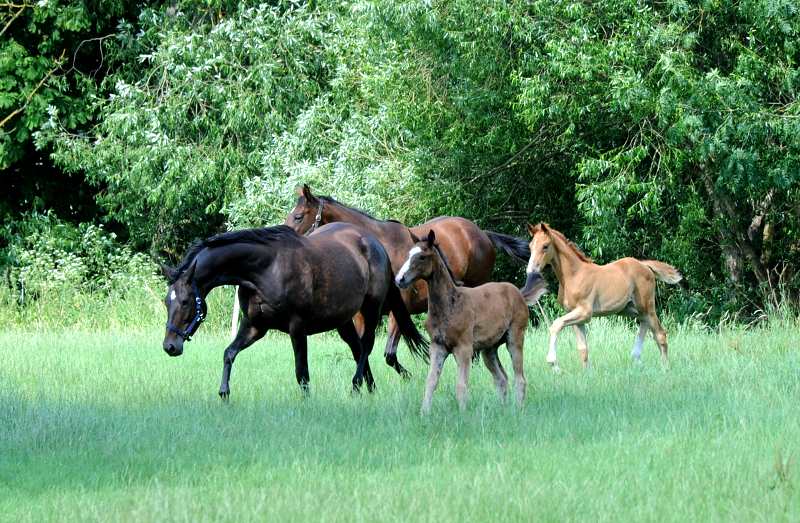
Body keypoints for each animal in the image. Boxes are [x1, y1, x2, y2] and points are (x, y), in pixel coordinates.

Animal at [159, 223, 428, 400]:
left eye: (185, 301)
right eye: (166, 301)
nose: (170, 346)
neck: (264, 269)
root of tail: (375, 243)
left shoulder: (297, 327)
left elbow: (302, 373)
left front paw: (308, 403)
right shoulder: (255, 326)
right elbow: (229, 353)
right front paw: (224, 393)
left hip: (370, 309)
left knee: (367, 345)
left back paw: (356, 386)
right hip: (343, 320)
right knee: (357, 348)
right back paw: (370, 390)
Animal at [282, 186, 536, 378]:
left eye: (298, 216)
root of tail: (481, 233)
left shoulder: (398, 311)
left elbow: (389, 355)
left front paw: (409, 377)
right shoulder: (363, 315)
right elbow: (362, 348)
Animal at [396, 231, 532, 416]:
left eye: (422, 256)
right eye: (408, 254)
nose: (399, 279)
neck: (448, 305)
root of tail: (518, 293)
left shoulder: (464, 349)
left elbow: (461, 385)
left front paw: (463, 415)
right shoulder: (437, 348)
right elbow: (431, 382)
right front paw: (424, 414)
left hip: (515, 338)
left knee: (520, 378)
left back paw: (518, 410)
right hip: (489, 349)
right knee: (501, 378)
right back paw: (502, 410)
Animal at [524, 223, 680, 374]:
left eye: (545, 246)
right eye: (531, 246)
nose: (531, 271)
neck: (573, 276)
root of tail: (644, 265)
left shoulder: (585, 313)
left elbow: (556, 324)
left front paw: (555, 365)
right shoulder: (576, 316)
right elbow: (583, 348)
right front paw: (586, 374)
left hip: (646, 306)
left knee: (660, 333)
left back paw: (665, 367)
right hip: (627, 309)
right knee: (647, 324)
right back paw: (638, 360)